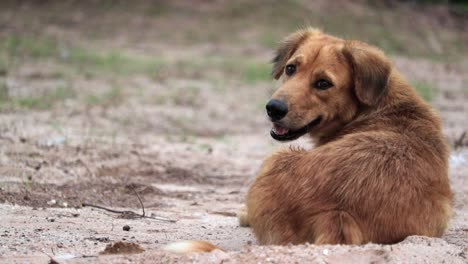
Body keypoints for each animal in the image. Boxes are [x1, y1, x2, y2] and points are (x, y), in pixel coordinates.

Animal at [239, 28, 452, 245]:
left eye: (323, 83)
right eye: (290, 68)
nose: (274, 108)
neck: (375, 108)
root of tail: (336, 213)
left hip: (277, 157)